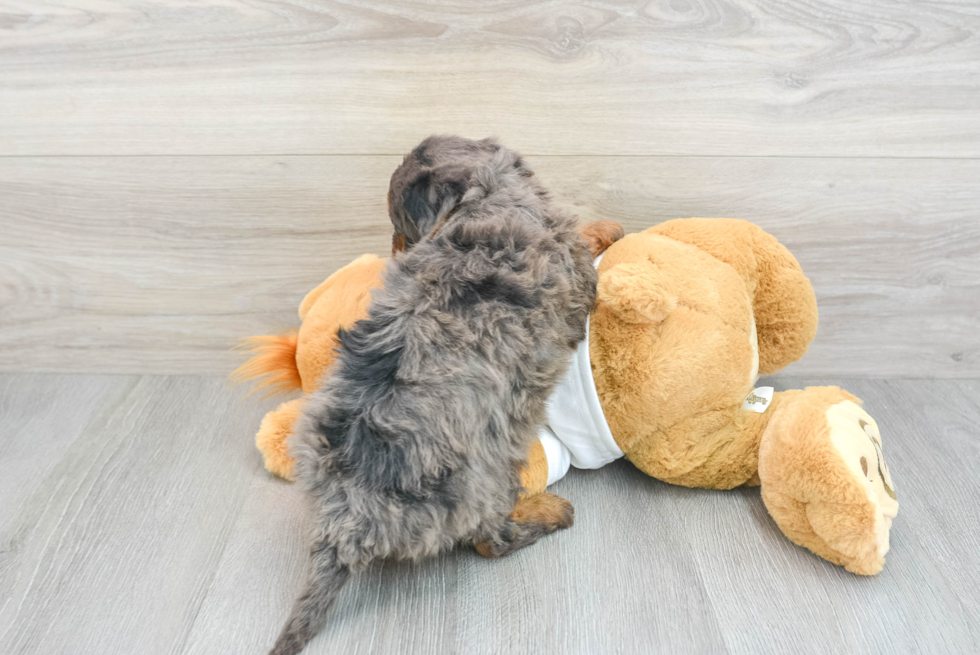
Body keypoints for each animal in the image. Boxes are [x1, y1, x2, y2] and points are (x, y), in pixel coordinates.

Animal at [272, 135, 600, 655]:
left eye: (398, 225)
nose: (394, 250)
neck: (485, 196)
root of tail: (348, 517)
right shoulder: (578, 267)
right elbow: (589, 241)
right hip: (489, 477)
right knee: (491, 541)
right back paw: (549, 514)